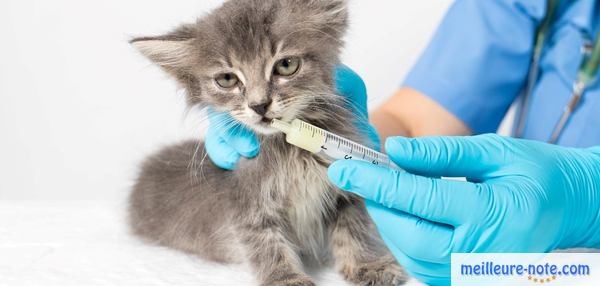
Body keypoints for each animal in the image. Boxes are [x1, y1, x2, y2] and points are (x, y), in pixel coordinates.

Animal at [128, 1, 406, 284]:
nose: (259, 105)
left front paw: (368, 263)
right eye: (227, 80)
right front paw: (287, 279)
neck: (292, 152)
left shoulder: (345, 188)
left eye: (286, 65)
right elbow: (265, 244)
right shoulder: (247, 202)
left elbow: (353, 228)